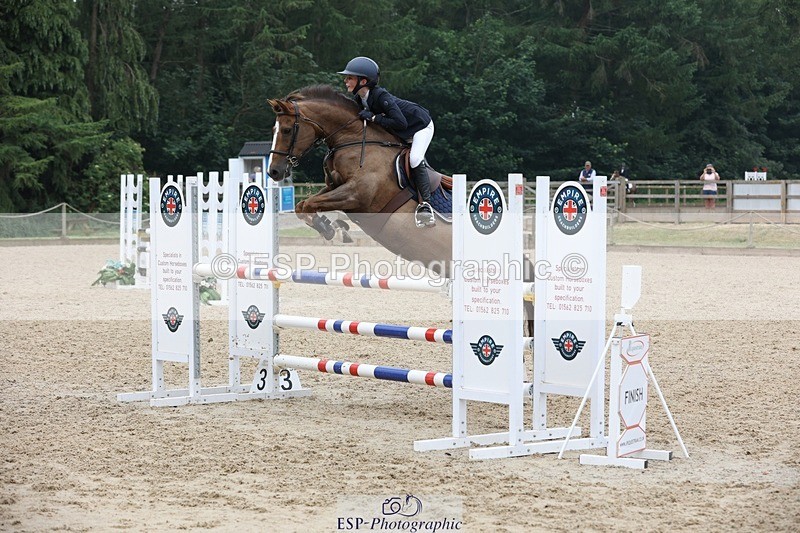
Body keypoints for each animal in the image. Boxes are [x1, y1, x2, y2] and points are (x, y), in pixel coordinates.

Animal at [267, 85, 534, 329]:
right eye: (274, 129)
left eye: (288, 130)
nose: (274, 172)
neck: (352, 139)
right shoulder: (335, 188)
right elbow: (303, 205)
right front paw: (331, 227)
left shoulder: (357, 195)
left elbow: (311, 204)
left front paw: (331, 228)